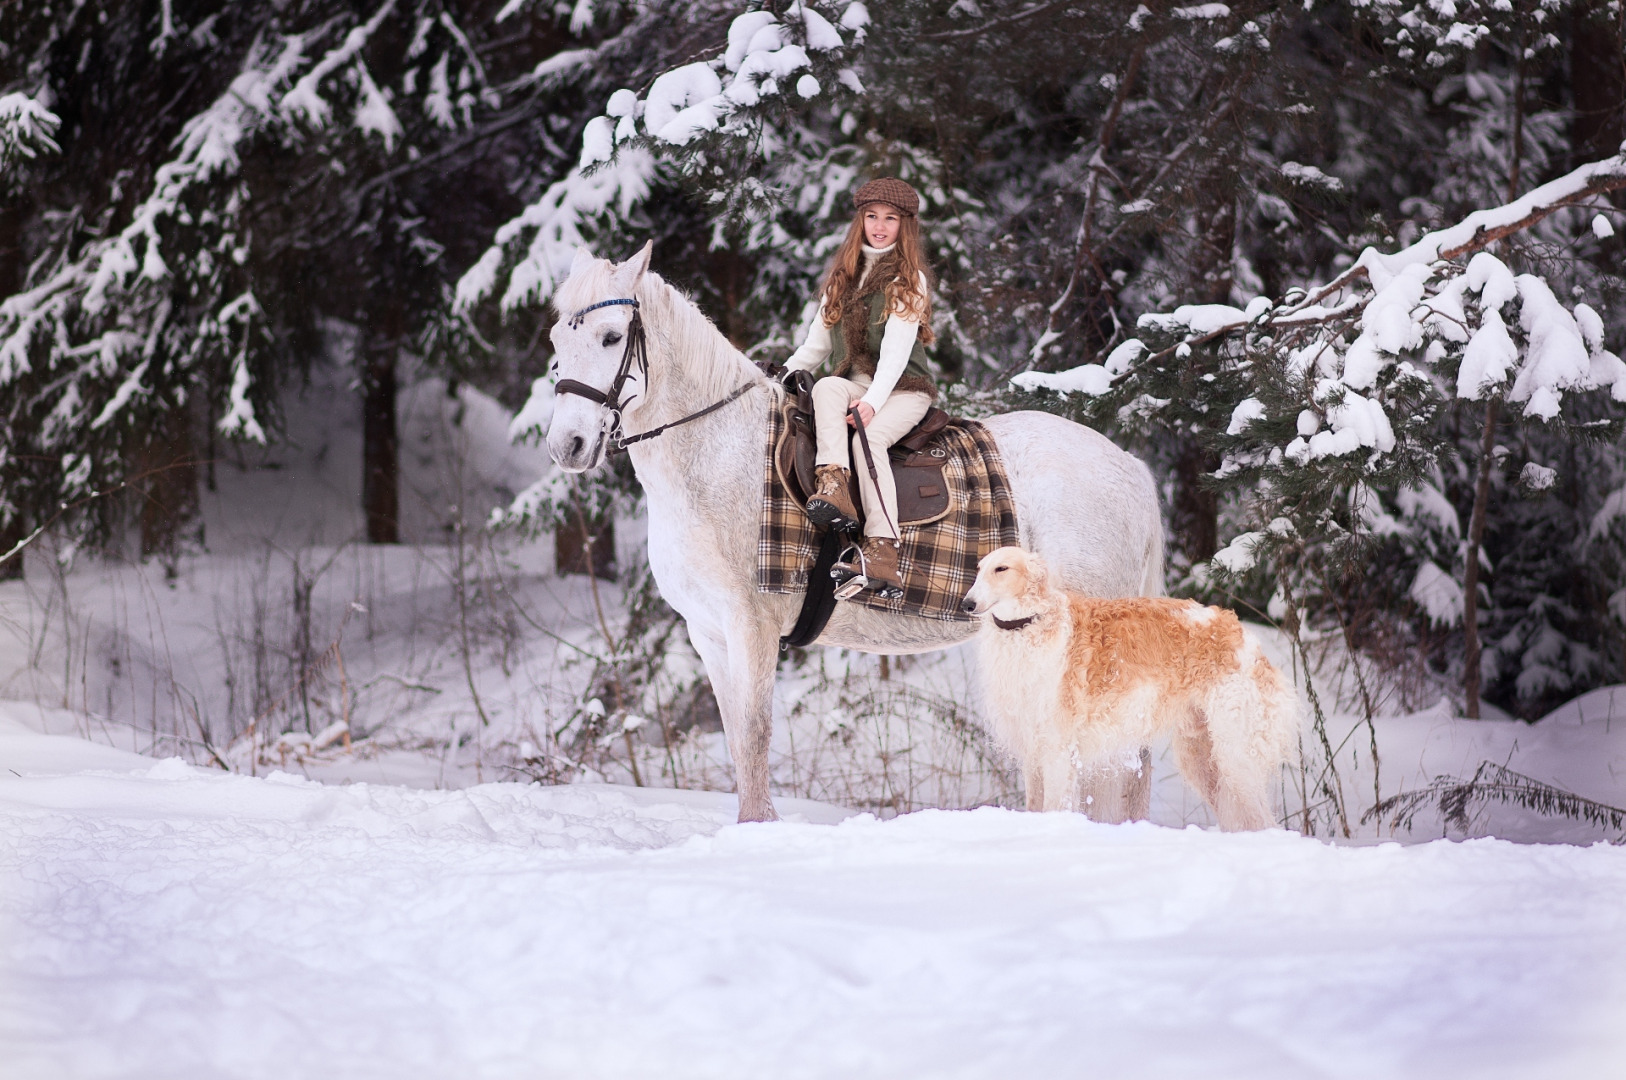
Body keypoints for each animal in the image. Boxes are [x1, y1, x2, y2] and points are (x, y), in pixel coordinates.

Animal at [552, 242, 1164, 819]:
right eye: (558, 339)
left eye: (611, 337)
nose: (567, 445)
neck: (720, 454)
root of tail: (1130, 466)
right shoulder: (708, 634)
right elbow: (736, 741)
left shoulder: (752, 627)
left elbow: (754, 738)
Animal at [962, 543, 1294, 829]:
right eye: (978, 569)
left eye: (1001, 568)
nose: (966, 604)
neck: (1029, 625)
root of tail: (1247, 640)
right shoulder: (1033, 750)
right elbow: (1034, 807)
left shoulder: (1057, 750)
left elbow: (1054, 808)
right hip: (1203, 755)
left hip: (1235, 754)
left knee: (1263, 820)